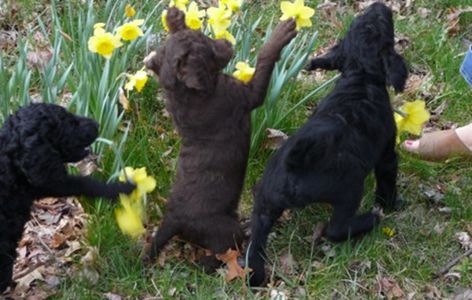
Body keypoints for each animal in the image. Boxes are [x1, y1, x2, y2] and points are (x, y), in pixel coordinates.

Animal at [0, 103, 135, 292]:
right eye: (68, 122)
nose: (96, 123)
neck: (9, 164)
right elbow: (86, 183)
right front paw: (121, 188)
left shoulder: (42, 183)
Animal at [144, 7, 296, 270]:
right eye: (209, 48)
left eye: (204, 36)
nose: (228, 42)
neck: (186, 94)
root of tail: (171, 220)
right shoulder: (247, 96)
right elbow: (265, 58)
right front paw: (281, 33)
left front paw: (174, 18)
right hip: (224, 229)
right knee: (215, 257)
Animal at [247, 3, 410, 288]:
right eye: (383, 24)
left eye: (360, 20)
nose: (379, 5)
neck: (360, 75)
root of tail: (295, 163)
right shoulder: (387, 156)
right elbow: (387, 181)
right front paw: (390, 204)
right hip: (349, 189)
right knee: (336, 229)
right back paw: (370, 219)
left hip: (265, 203)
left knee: (256, 239)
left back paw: (254, 273)